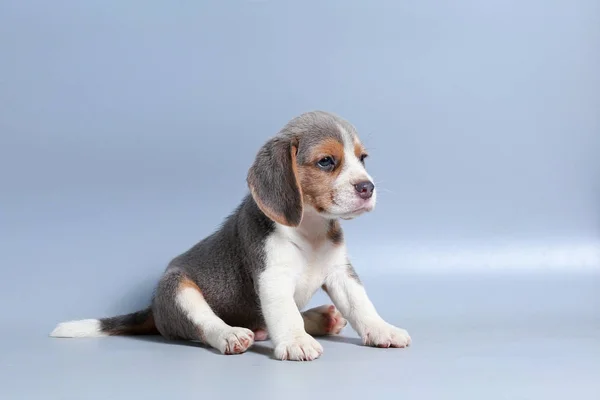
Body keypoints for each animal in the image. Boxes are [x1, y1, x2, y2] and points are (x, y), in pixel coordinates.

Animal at [51, 111, 410, 360]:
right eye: (326, 162)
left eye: (362, 159)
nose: (367, 187)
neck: (310, 227)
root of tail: (152, 309)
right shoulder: (272, 277)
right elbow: (284, 313)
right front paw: (295, 341)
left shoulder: (340, 273)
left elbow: (362, 306)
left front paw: (382, 329)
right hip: (177, 288)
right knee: (205, 324)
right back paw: (232, 335)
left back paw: (322, 318)